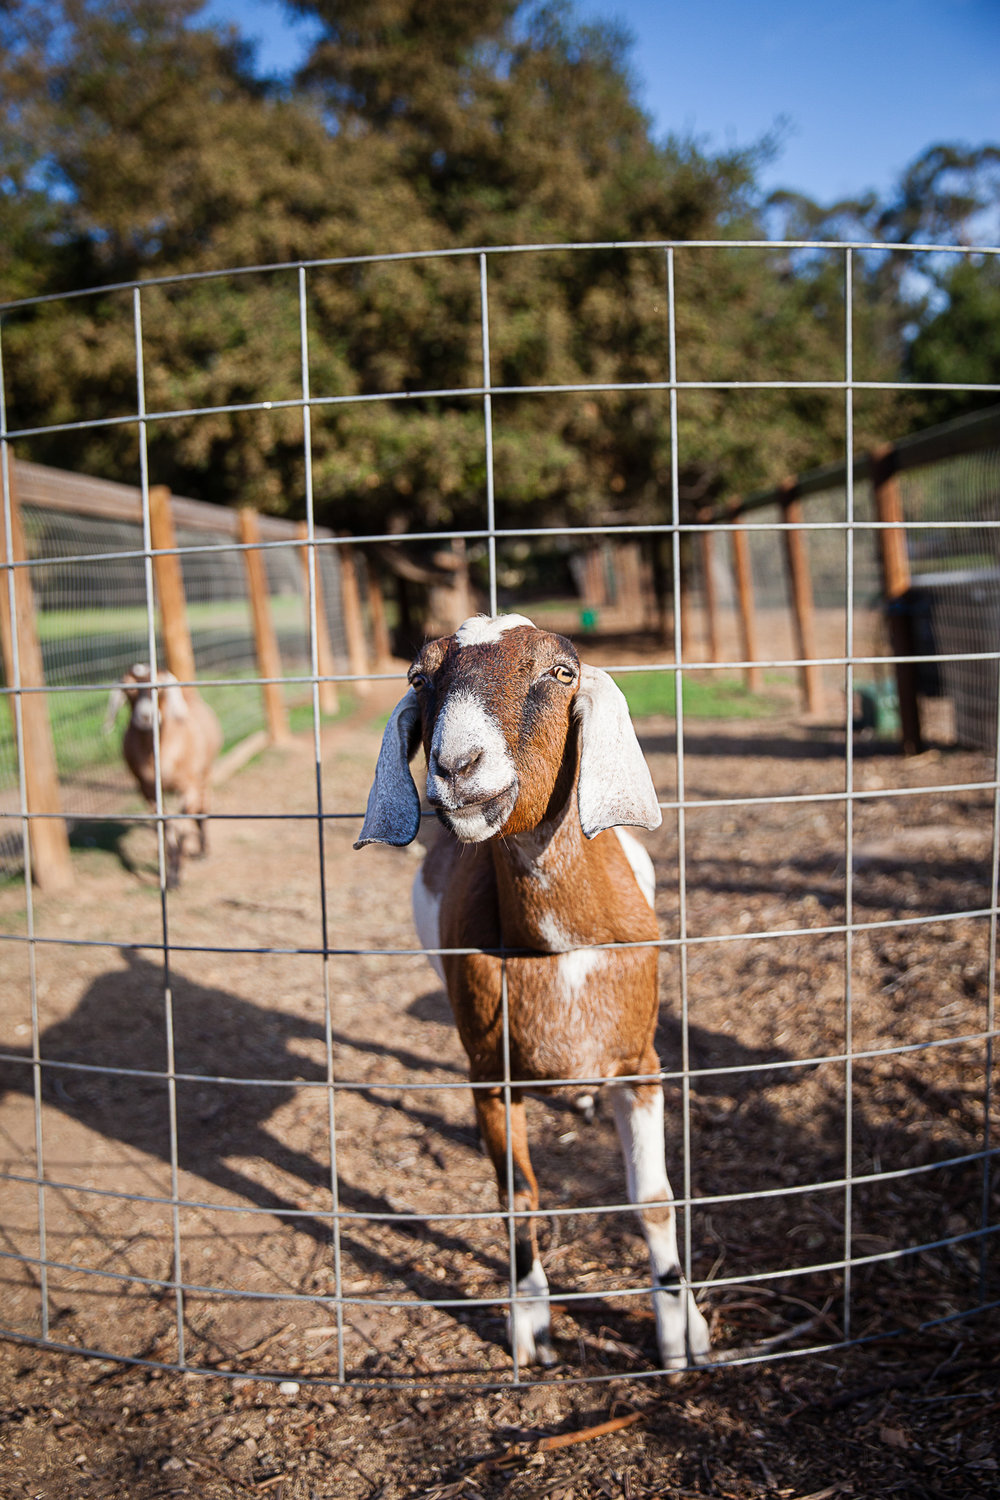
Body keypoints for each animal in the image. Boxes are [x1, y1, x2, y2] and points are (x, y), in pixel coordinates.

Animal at [106, 663, 221, 882]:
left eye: (161, 688)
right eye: (129, 688)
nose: (145, 717)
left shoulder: (188, 786)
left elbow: (183, 823)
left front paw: (176, 874)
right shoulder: (147, 791)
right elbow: (166, 825)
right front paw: (170, 871)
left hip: (205, 774)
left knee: (202, 808)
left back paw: (203, 850)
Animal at [358, 609, 710, 1374]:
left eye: (561, 671)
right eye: (419, 677)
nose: (457, 768)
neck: (556, 944)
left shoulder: (640, 1063)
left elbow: (655, 1197)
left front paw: (682, 1334)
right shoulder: (493, 1076)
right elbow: (517, 1196)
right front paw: (532, 1329)